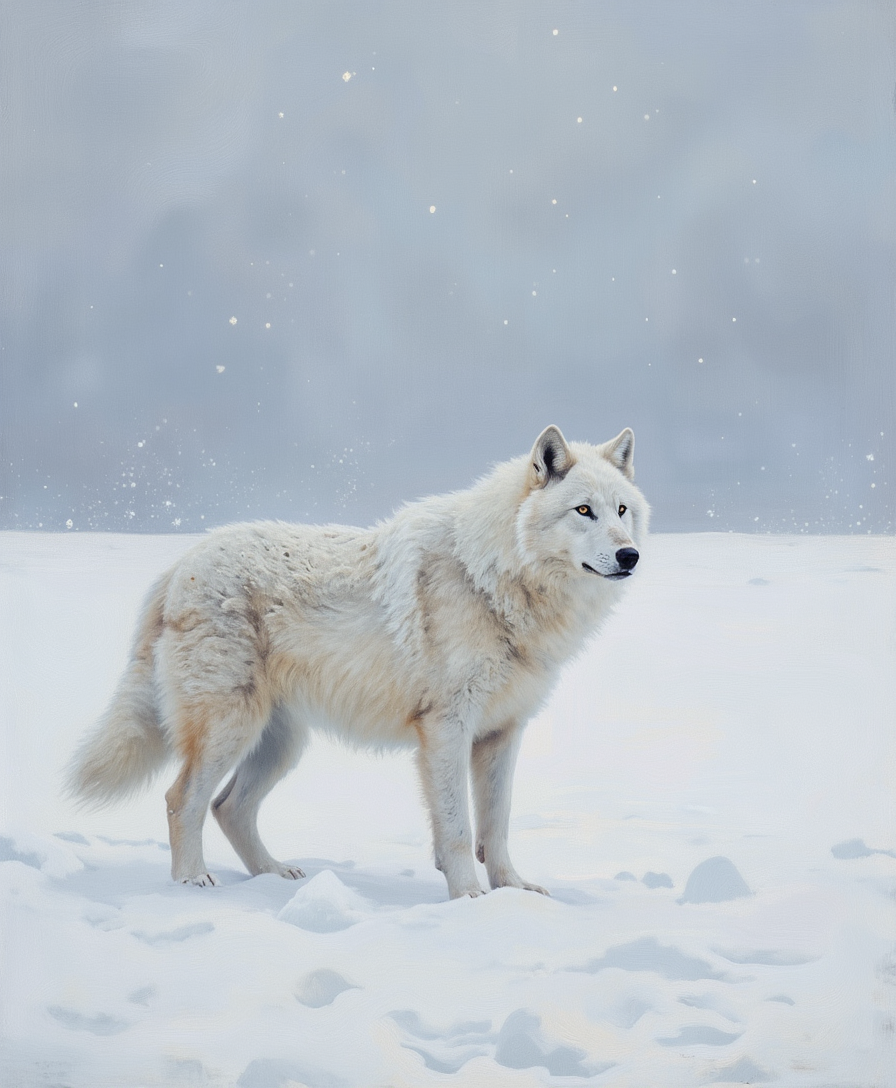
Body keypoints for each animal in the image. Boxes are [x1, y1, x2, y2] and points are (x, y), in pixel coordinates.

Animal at [68, 426, 648, 899]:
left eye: (621, 511)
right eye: (583, 511)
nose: (630, 556)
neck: (492, 576)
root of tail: (178, 565)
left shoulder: (503, 732)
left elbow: (497, 826)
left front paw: (513, 894)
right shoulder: (445, 729)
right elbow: (459, 831)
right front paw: (469, 899)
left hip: (280, 744)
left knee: (228, 808)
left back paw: (274, 876)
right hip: (229, 730)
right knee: (181, 798)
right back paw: (192, 882)